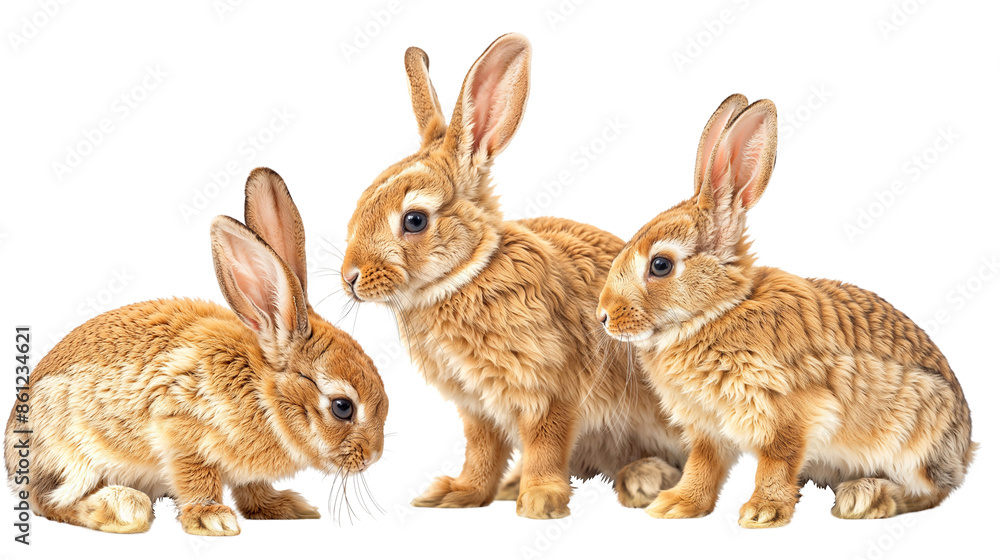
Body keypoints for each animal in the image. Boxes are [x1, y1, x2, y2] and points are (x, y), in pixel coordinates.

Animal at [4, 167, 388, 535]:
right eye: (342, 407)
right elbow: (196, 477)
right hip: (71, 453)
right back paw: (122, 507)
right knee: (49, 501)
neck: (265, 393)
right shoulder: (180, 426)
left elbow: (253, 488)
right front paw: (213, 519)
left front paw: (287, 507)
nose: (373, 456)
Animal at [339, 33, 688, 519]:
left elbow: (545, 442)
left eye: (414, 220)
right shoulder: (477, 406)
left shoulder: (548, 387)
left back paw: (643, 480)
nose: (349, 277)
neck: (467, 274)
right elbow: (481, 451)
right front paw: (457, 494)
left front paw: (540, 501)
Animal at [597, 94, 976, 528]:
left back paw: (865, 499)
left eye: (660, 265)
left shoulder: (791, 411)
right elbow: (703, 465)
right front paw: (676, 505)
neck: (717, 312)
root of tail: (965, 449)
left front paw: (762, 513)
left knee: (931, 491)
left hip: (912, 438)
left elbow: (776, 462)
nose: (603, 316)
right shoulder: (708, 428)